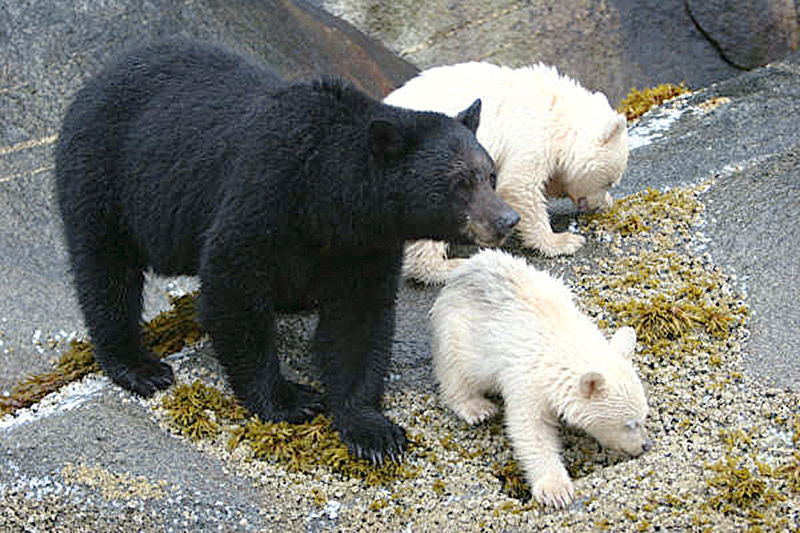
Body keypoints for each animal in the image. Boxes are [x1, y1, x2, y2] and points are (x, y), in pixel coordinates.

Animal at [56, 37, 520, 462]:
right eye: (459, 183)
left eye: (490, 175)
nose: (506, 220)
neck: (328, 191)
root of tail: (94, 81)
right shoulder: (266, 192)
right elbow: (233, 285)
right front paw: (289, 399)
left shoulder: (365, 242)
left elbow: (359, 318)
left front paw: (372, 430)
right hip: (104, 174)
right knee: (106, 272)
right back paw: (137, 365)